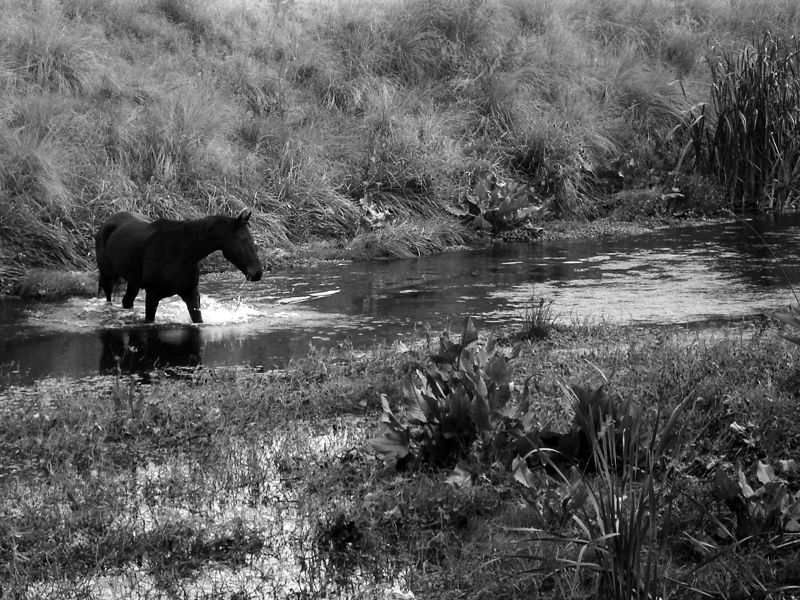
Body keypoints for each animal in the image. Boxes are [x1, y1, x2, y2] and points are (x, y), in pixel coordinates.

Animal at [94, 210, 262, 324]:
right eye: (242, 240)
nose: (257, 273)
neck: (180, 253)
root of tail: (108, 222)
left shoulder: (191, 294)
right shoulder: (152, 296)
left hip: (133, 282)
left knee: (127, 301)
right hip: (107, 276)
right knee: (109, 297)